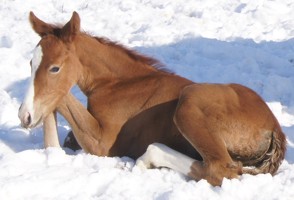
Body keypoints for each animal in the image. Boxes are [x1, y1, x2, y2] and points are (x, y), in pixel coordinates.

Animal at [17, 11, 284, 186]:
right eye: (31, 64)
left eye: (55, 68)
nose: (23, 116)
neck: (116, 83)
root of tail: (275, 130)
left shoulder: (103, 144)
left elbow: (61, 98)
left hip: (189, 102)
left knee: (222, 168)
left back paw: (149, 158)